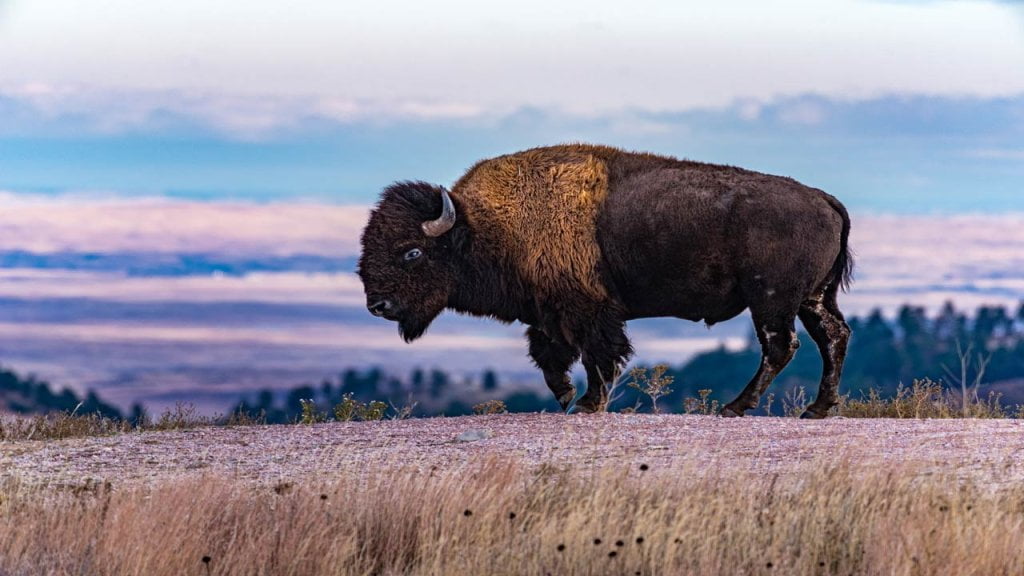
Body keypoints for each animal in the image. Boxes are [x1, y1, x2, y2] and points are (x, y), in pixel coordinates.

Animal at [356, 141, 851, 414]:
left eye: (412, 251)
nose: (377, 305)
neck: (486, 226)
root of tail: (823, 198)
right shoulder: (548, 313)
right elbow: (550, 357)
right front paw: (564, 397)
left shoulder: (588, 311)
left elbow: (598, 356)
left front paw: (586, 404)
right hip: (812, 299)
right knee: (833, 337)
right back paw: (816, 410)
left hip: (771, 300)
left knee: (780, 347)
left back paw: (736, 408)